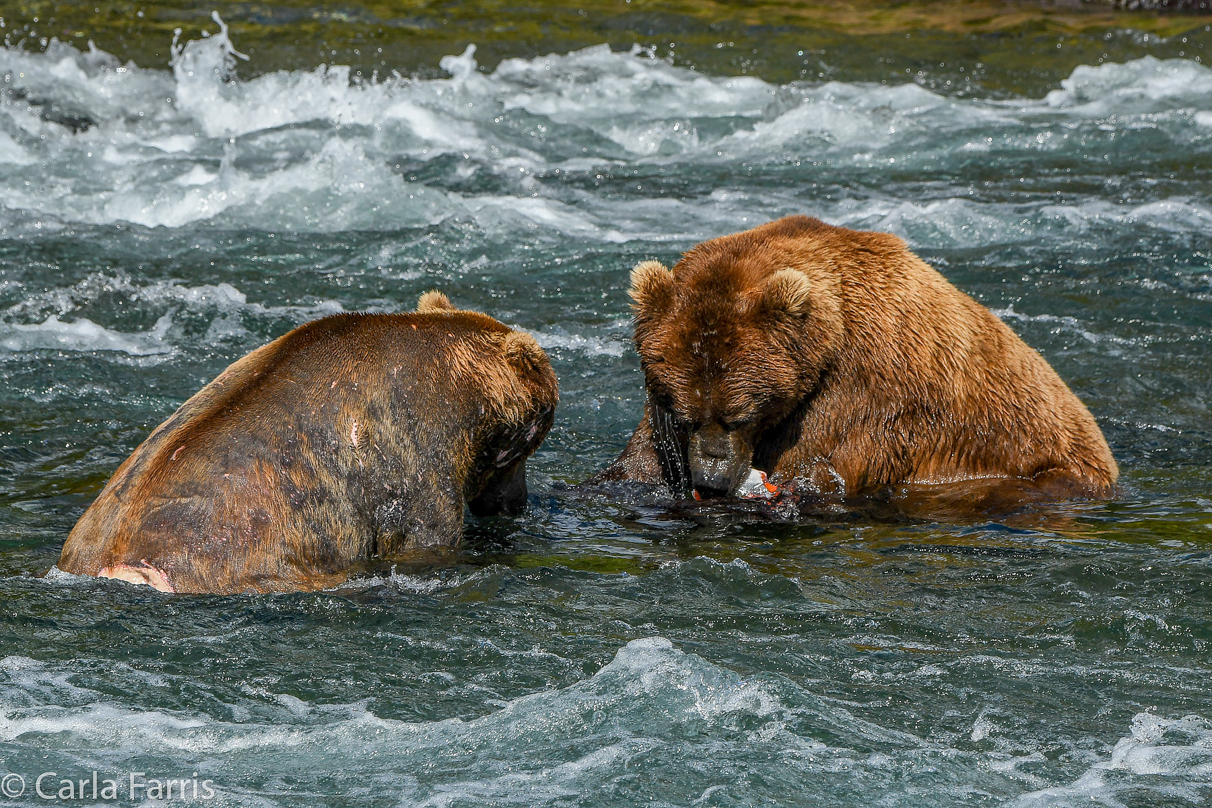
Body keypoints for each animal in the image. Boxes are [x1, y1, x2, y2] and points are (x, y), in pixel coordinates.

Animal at [596, 214, 1115, 511]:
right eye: (684, 415)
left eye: (739, 415)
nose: (713, 479)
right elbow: (638, 465)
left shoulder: (866, 388)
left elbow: (829, 461)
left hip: (1033, 468)